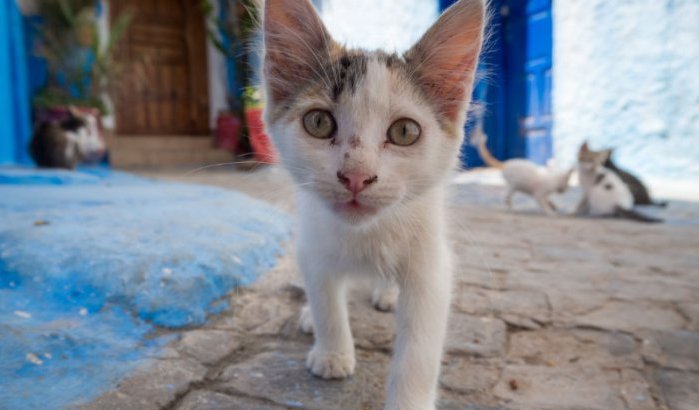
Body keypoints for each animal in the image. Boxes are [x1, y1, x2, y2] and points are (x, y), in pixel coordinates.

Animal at [262, 1, 486, 408]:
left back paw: (387, 293)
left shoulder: (432, 265)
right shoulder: (312, 243)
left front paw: (410, 400)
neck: (367, 234)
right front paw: (332, 352)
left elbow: (420, 346)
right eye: (318, 122)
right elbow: (326, 297)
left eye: (405, 132)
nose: (356, 176)